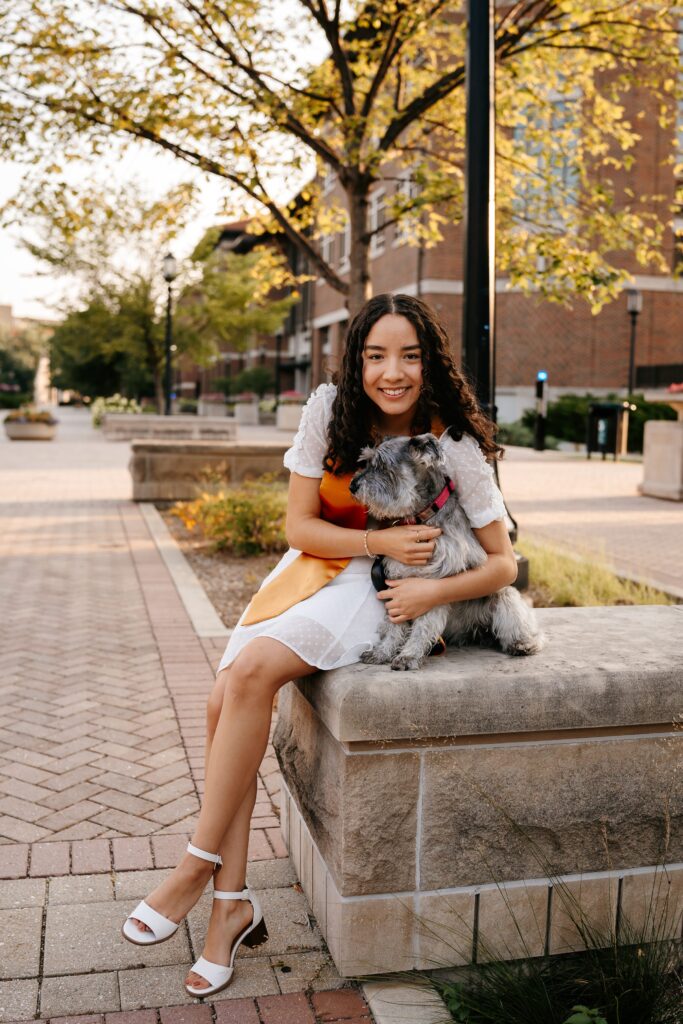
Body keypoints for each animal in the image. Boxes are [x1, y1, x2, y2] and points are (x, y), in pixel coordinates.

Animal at [352, 432, 544, 671]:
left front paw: (409, 656)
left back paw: (523, 643)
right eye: (367, 462)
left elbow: (423, 627)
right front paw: (382, 652)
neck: (422, 517)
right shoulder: (396, 585)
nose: (352, 486)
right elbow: (395, 626)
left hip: (505, 596)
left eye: (382, 465)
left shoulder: (430, 588)